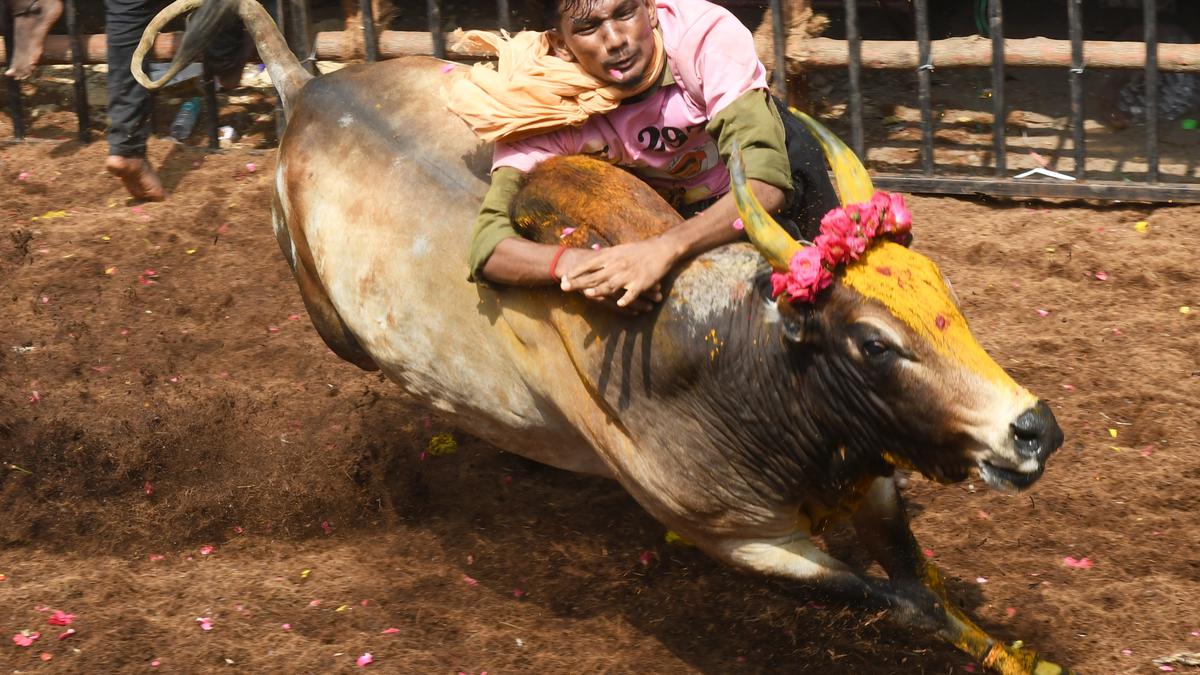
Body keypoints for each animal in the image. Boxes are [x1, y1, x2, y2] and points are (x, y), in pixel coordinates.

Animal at [138, 2, 1070, 667]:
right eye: (875, 343)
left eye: (946, 296)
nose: (1033, 429)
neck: (739, 364)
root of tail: (308, 88)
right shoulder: (744, 540)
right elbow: (899, 600)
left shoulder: (869, 480)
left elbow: (926, 583)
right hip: (325, 315)